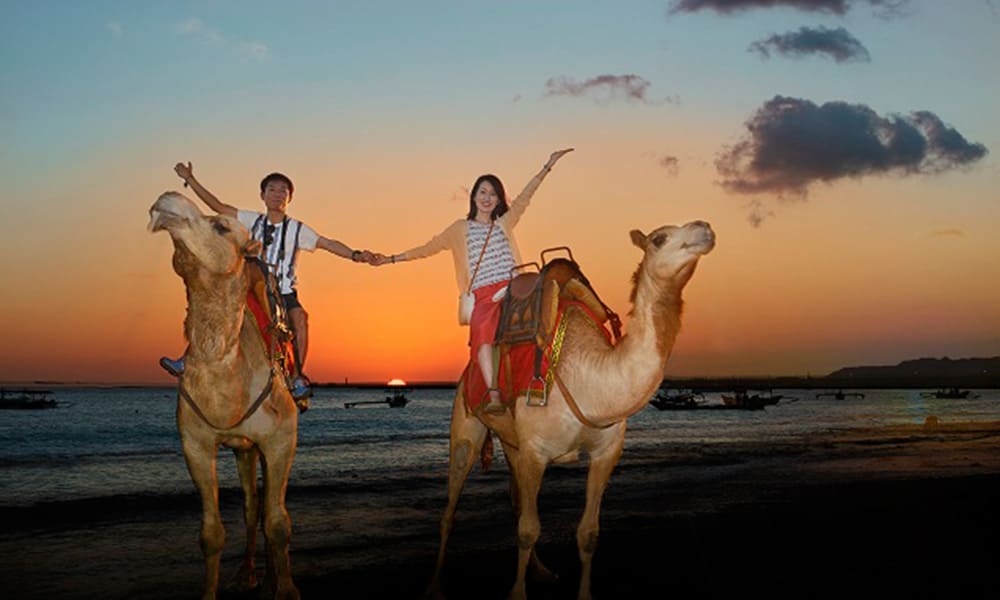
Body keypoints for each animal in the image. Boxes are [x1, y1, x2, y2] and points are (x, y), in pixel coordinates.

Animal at [148, 191, 300, 600]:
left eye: (220, 226)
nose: (165, 200)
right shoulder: (195, 442)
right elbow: (211, 534)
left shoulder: (282, 438)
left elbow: (279, 523)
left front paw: (287, 589)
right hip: (243, 449)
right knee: (251, 506)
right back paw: (250, 575)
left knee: (266, 510)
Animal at [428, 220, 715, 600]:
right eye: (659, 238)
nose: (705, 227)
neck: (591, 379)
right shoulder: (536, 450)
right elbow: (528, 529)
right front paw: (517, 594)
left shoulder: (606, 451)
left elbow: (587, 533)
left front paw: (582, 592)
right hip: (467, 426)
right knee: (451, 509)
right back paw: (434, 587)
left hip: (512, 441)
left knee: (516, 500)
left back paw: (540, 572)